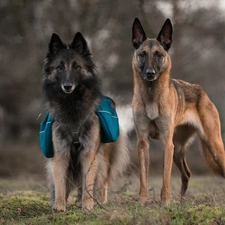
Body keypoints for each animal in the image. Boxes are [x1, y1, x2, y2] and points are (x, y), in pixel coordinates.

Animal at [42, 32, 129, 212]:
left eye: (76, 66)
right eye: (59, 67)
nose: (67, 86)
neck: (72, 106)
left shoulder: (90, 153)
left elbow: (88, 180)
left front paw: (87, 206)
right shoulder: (60, 153)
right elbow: (60, 183)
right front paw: (59, 206)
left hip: (105, 159)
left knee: (103, 181)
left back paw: (100, 201)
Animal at [131, 18, 225, 206]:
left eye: (159, 54)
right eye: (143, 54)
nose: (150, 73)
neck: (152, 96)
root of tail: (201, 90)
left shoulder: (167, 143)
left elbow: (166, 178)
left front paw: (165, 203)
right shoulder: (143, 143)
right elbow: (144, 178)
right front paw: (142, 202)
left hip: (214, 146)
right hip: (178, 150)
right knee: (187, 174)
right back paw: (181, 201)